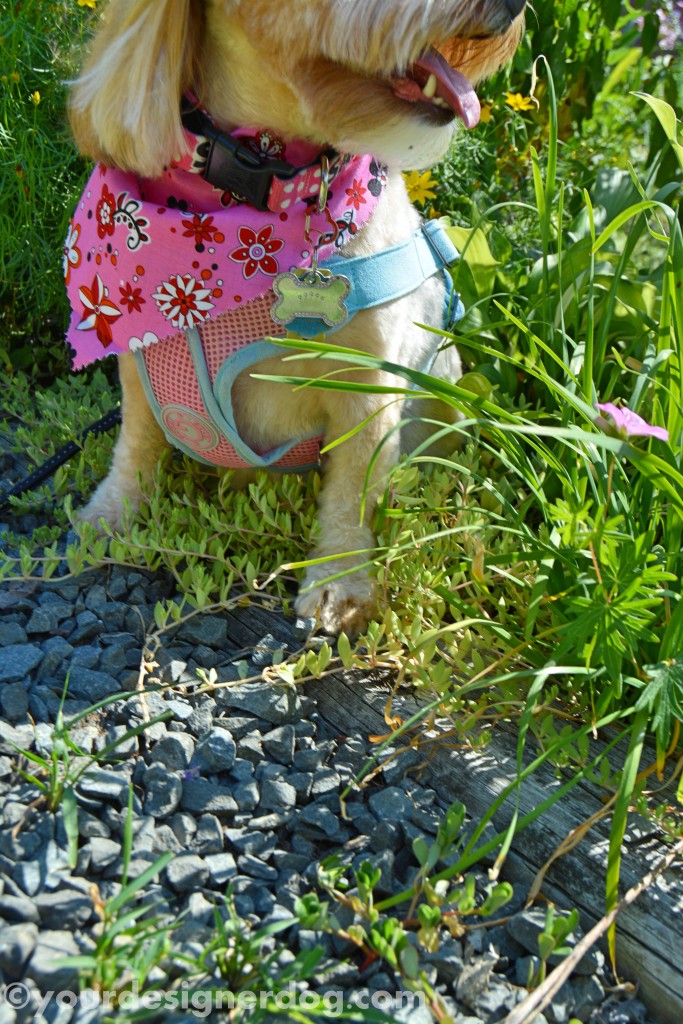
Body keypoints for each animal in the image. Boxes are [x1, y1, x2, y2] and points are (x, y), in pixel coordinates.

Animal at [63, 0, 524, 634]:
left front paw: (339, 583)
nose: (519, 7)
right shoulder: (138, 365)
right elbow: (136, 443)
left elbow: (353, 488)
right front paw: (113, 512)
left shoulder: (368, 390)